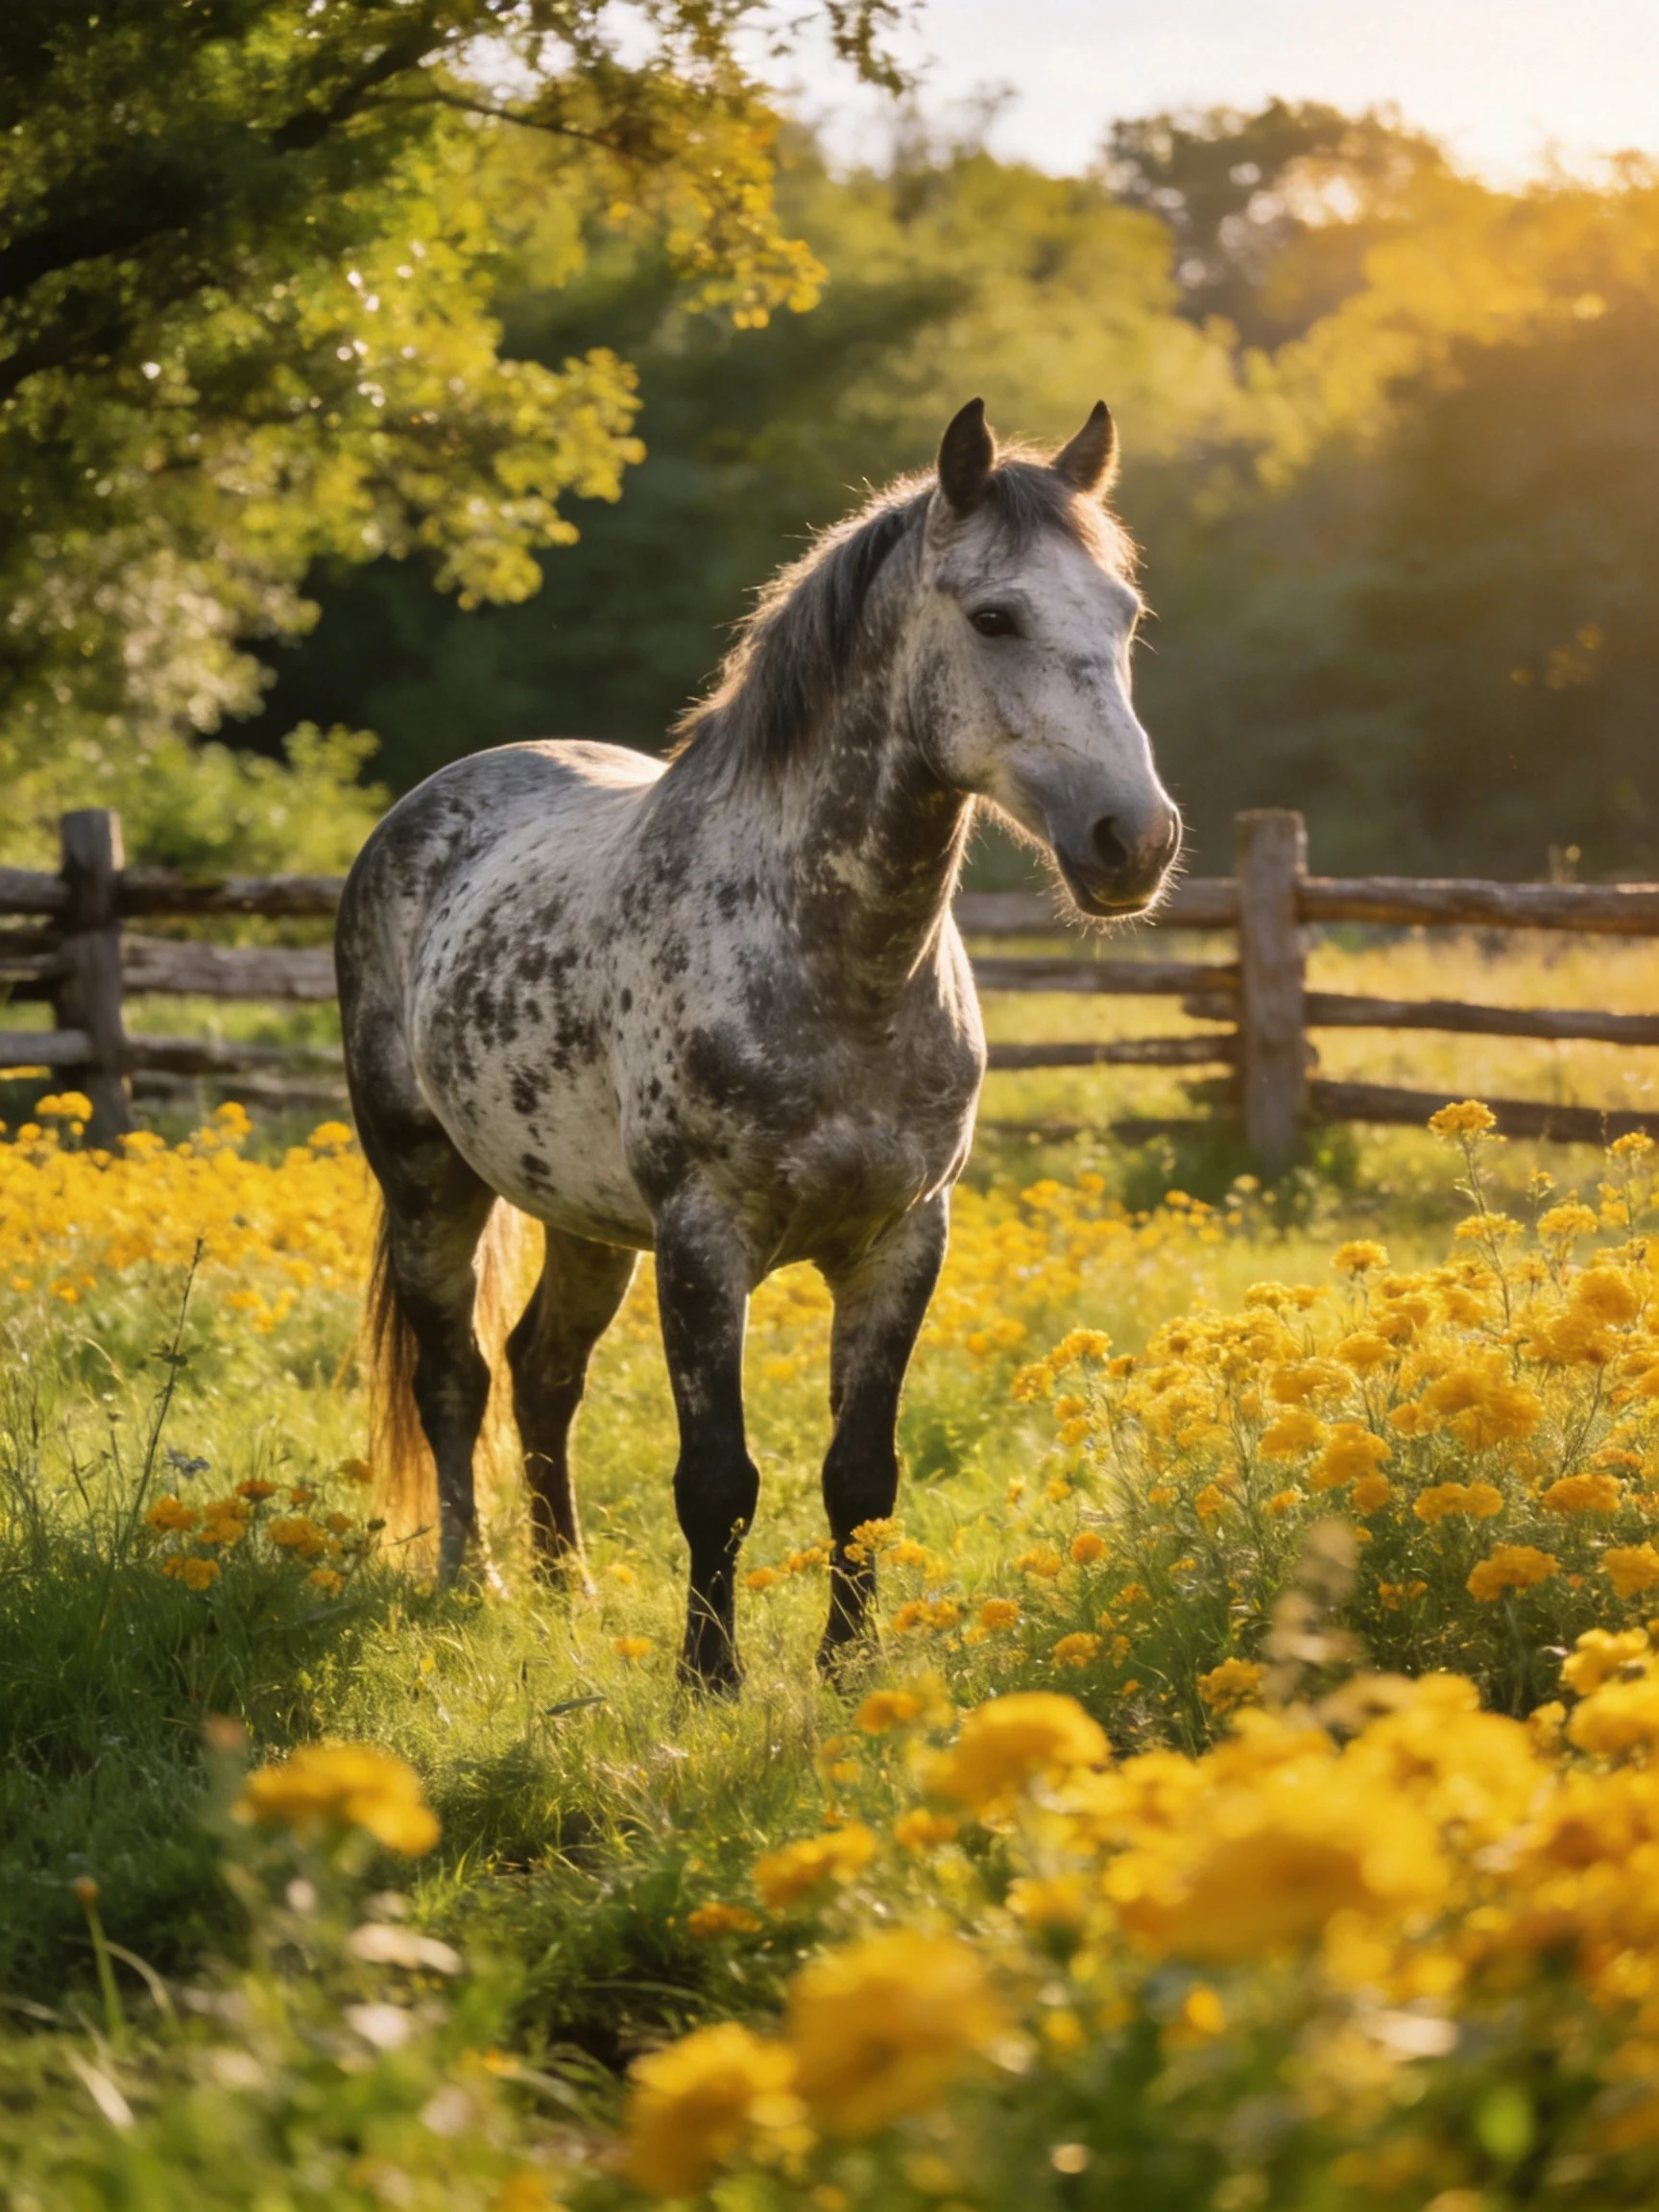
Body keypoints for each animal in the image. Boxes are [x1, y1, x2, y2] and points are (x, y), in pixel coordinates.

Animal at [336, 396, 1180, 1690]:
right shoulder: (704, 1241)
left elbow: (861, 1476)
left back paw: (566, 1586)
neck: (837, 969)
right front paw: (708, 1678)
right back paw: (470, 1582)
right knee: (455, 1377)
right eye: (994, 616)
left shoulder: (901, 1241)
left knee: (543, 1374)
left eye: (1126, 616)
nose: (1133, 841)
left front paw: (848, 1671)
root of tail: (426, 808)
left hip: (584, 1218)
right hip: (430, 1181)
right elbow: (717, 1480)